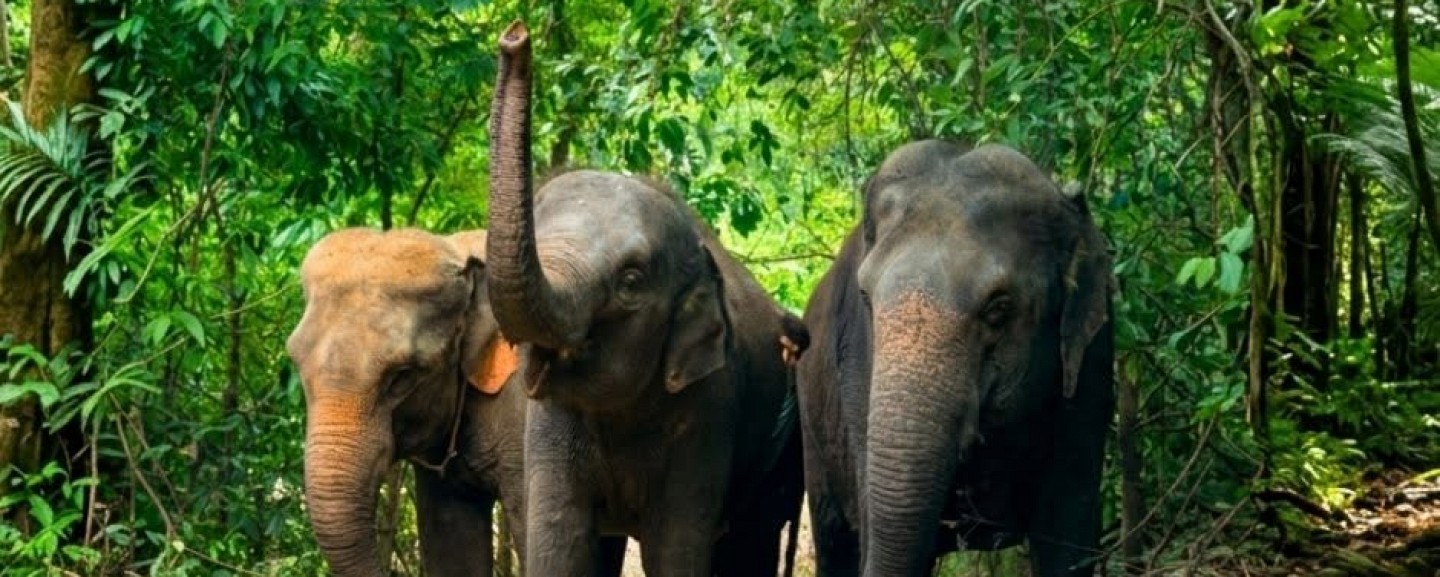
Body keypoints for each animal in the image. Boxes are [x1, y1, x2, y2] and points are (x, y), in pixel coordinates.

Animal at [482, 21, 809, 577]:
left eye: (631, 282)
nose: (515, 37)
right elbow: (559, 541)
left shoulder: (710, 406)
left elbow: (676, 548)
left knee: (750, 541)